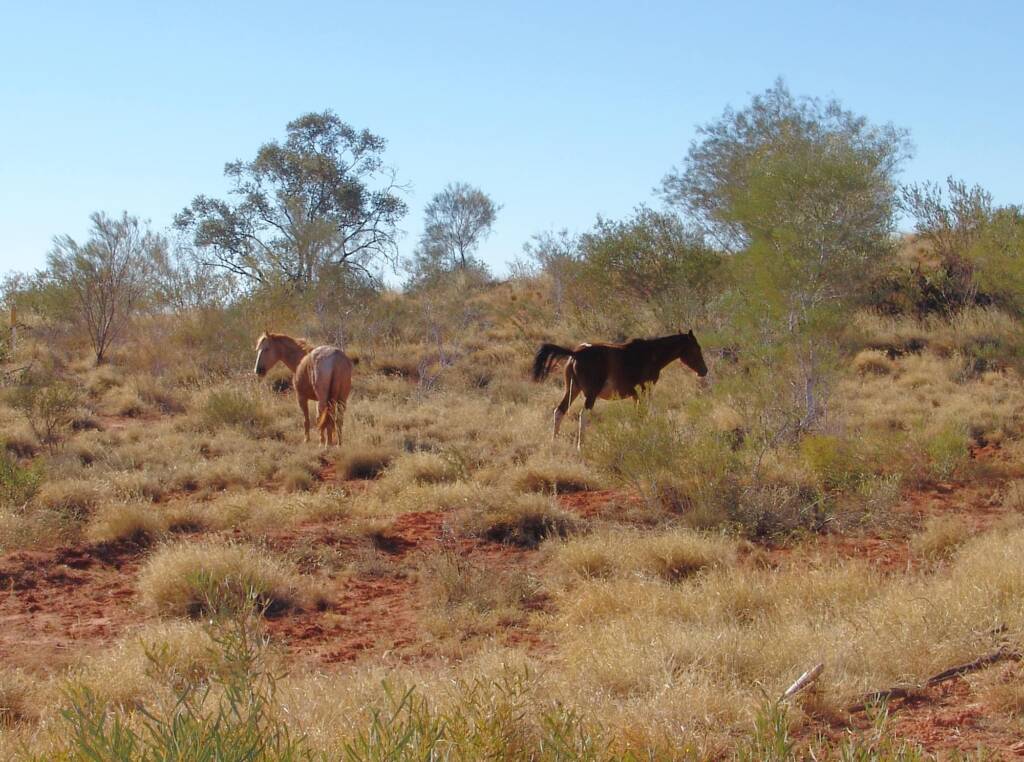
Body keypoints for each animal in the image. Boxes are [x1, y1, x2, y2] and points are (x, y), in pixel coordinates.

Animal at [531, 330, 708, 447]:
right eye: (696, 348)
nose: (704, 370)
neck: (651, 354)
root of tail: (575, 353)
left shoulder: (636, 395)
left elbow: (639, 414)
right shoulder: (646, 390)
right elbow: (644, 413)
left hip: (572, 390)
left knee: (559, 411)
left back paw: (554, 442)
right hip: (590, 394)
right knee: (583, 414)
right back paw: (581, 446)